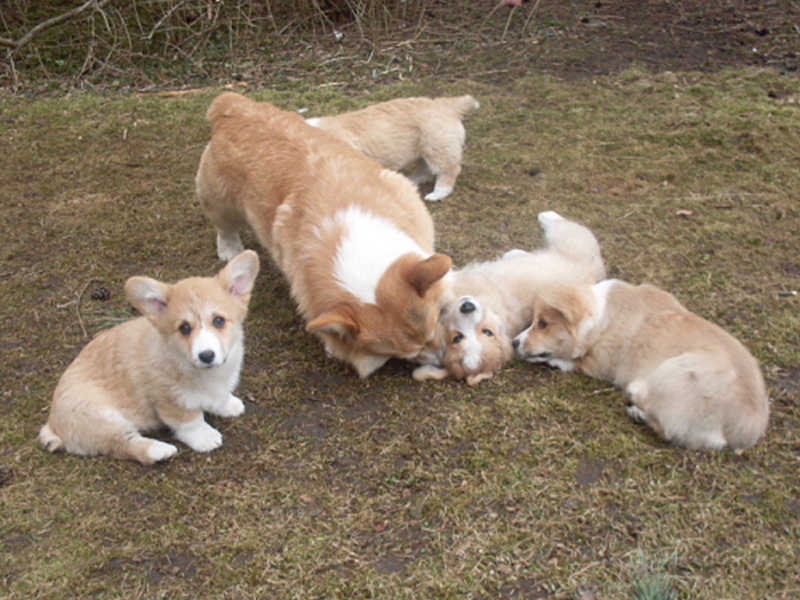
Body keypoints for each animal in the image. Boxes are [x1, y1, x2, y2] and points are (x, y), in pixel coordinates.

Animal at [39, 248, 260, 464]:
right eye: (184, 328)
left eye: (219, 321)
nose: (206, 356)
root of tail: (52, 425)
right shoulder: (168, 400)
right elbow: (190, 421)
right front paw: (204, 437)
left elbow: (218, 398)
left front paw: (228, 405)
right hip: (100, 418)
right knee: (123, 444)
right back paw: (159, 450)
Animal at [197, 92, 454, 378]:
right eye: (408, 355)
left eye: (434, 328)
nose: (444, 362)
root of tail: (232, 104)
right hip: (220, 201)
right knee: (225, 227)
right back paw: (229, 249)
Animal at [306, 95, 482, 202]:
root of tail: (449, 105)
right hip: (423, 149)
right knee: (424, 169)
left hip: (438, 146)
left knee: (448, 171)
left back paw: (437, 194)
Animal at [416, 213, 604, 386]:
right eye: (457, 338)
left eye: (487, 332)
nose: (467, 306)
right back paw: (515, 252)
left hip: (571, 242)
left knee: (567, 227)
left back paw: (547, 216)